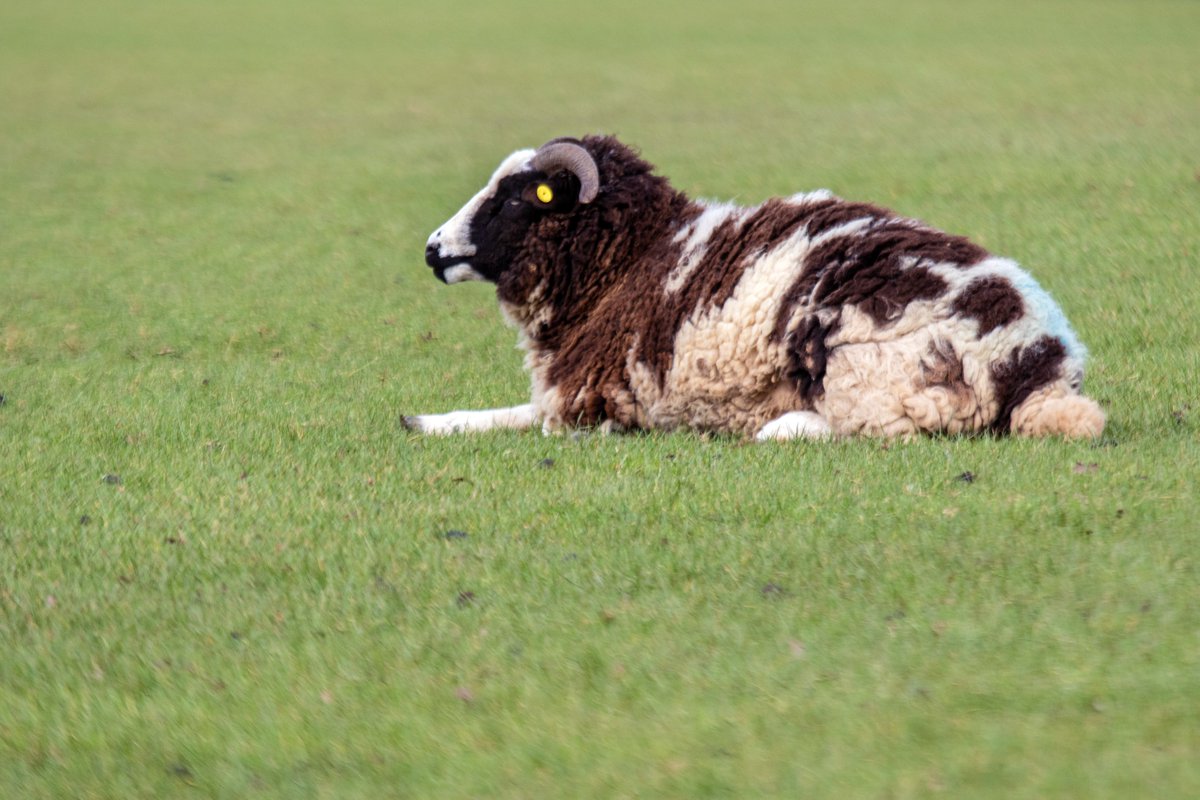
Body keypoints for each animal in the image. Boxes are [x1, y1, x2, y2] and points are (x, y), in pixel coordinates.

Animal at [407, 135, 1105, 440]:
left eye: (514, 199)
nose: (433, 249)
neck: (629, 263)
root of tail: (1035, 362)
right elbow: (505, 412)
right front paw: (426, 419)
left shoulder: (588, 401)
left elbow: (537, 420)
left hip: (873, 378)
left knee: (855, 430)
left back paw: (770, 424)